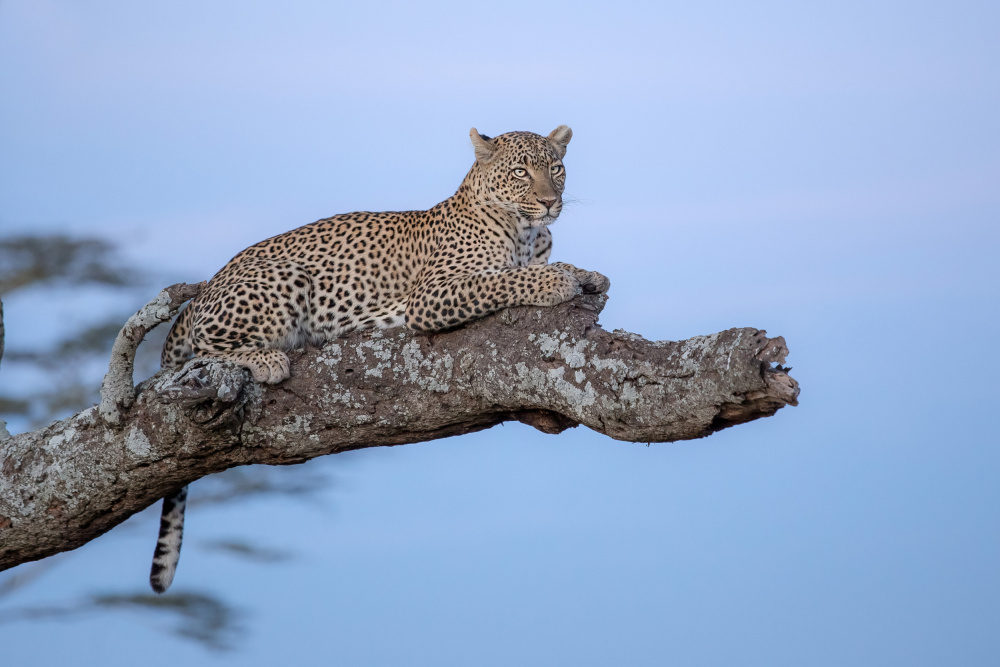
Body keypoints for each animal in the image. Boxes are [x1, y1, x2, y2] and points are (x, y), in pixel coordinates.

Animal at [148, 126, 608, 596]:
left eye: (556, 168)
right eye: (520, 172)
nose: (550, 201)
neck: (527, 233)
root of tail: (205, 288)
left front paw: (586, 274)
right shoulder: (433, 294)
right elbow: (504, 279)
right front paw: (556, 280)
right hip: (283, 276)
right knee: (203, 346)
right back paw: (266, 358)